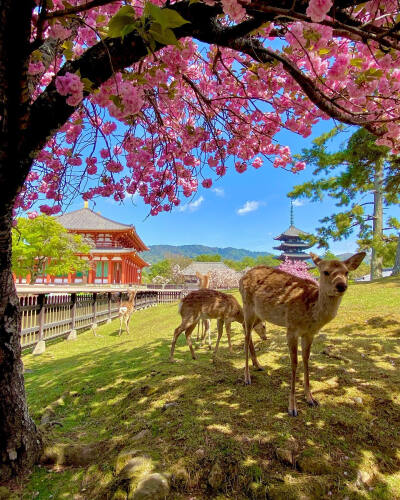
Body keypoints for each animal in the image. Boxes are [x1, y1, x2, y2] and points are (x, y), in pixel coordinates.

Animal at [239, 252, 368, 416]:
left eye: (346, 272)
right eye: (325, 272)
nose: (341, 286)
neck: (311, 314)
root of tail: (242, 277)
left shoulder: (309, 334)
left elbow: (306, 360)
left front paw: (311, 399)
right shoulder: (291, 329)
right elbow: (294, 363)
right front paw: (292, 407)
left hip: (259, 312)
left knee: (246, 328)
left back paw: (258, 365)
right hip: (247, 305)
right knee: (246, 333)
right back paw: (247, 377)